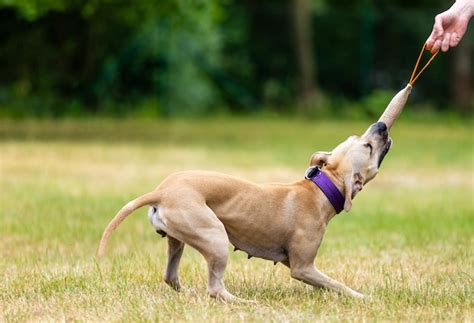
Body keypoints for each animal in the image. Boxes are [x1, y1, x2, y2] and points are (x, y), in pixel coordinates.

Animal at [97, 121, 392, 302]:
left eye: (358, 137)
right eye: (367, 146)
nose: (382, 125)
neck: (321, 189)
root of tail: (161, 191)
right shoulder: (303, 267)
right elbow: (338, 284)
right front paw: (363, 297)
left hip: (178, 240)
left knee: (171, 276)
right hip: (215, 236)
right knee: (215, 288)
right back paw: (243, 302)